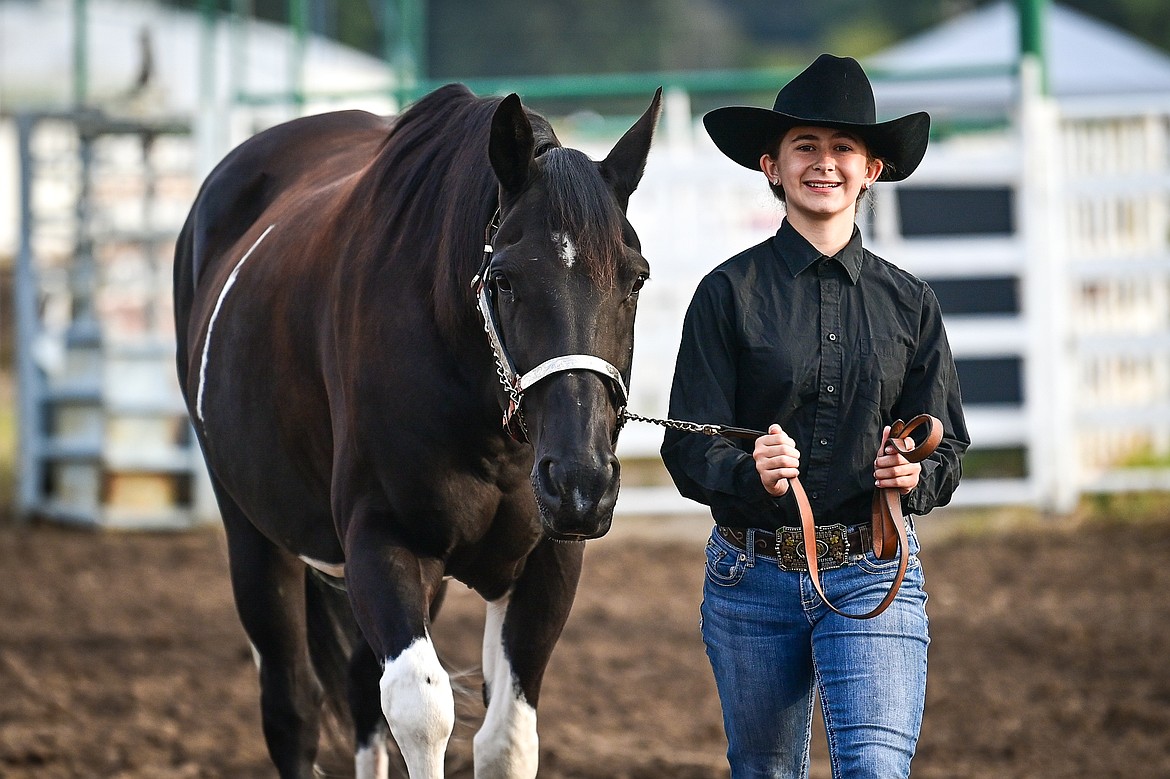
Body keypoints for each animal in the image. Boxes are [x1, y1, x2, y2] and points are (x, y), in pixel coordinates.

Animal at [175, 81, 669, 771]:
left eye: (636, 278)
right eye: (504, 279)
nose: (580, 483)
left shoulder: (547, 562)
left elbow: (505, 740)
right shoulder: (383, 544)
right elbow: (421, 710)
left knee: (359, 690)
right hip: (253, 537)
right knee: (293, 706)